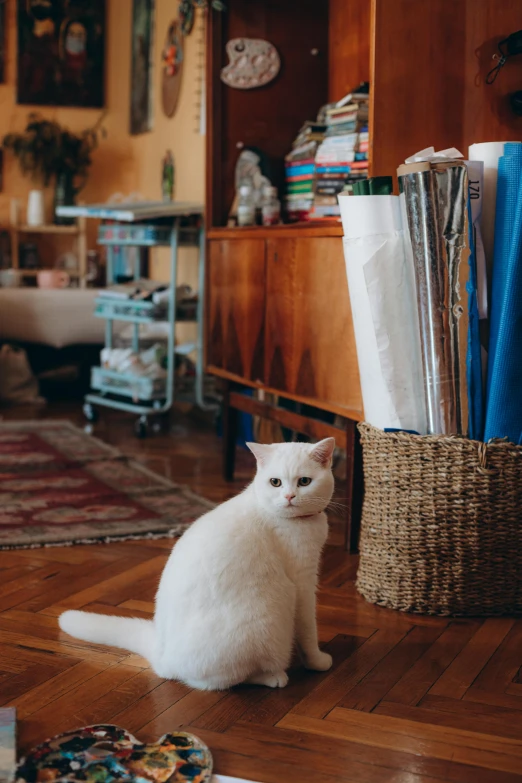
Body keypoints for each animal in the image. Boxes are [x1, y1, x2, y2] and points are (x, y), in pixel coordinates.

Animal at [58, 440, 334, 692]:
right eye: (275, 482)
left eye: (304, 482)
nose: (289, 496)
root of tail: (162, 658)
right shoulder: (303, 585)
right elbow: (309, 631)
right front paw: (317, 661)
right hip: (269, 616)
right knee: (218, 682)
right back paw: (273, 676)